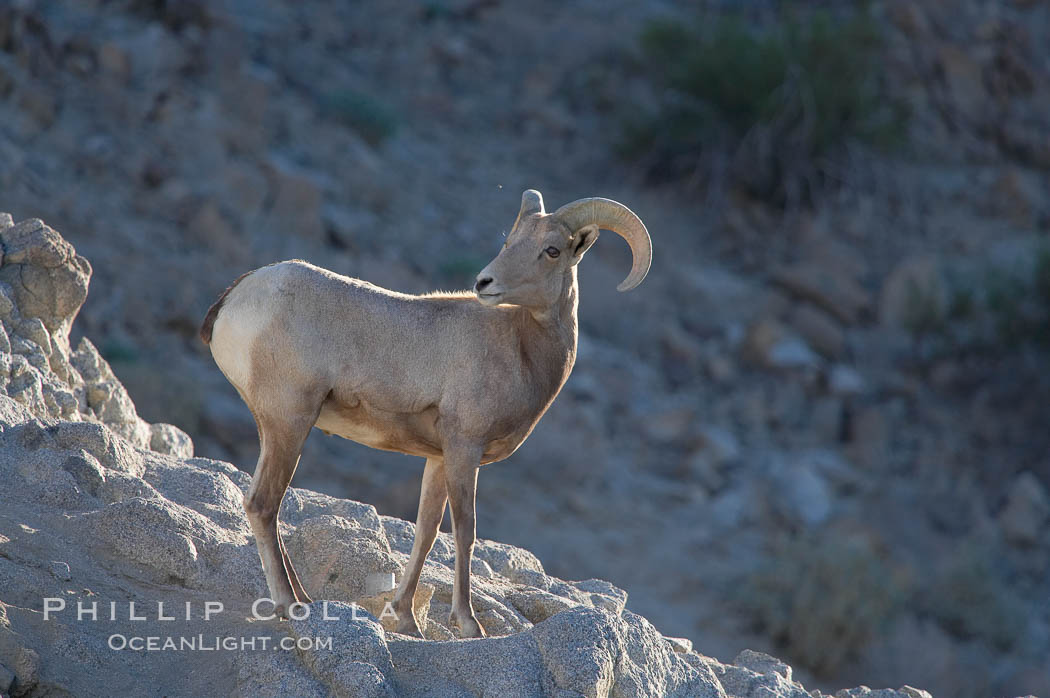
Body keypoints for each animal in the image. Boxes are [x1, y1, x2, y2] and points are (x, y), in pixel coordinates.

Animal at [198, 188, 646, 638]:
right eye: (511, 241)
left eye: (551, 250)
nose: (484, 283)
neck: (519, 348)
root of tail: (236, 296)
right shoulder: (465, 450)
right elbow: (465, 531)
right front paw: (468, 624)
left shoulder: (438, 458)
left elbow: (426, 532)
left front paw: (405, 618)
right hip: (290, 423)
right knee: (263, 504)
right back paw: (290, 606)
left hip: (273, 428)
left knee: (267, 506)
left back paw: (305, 598)